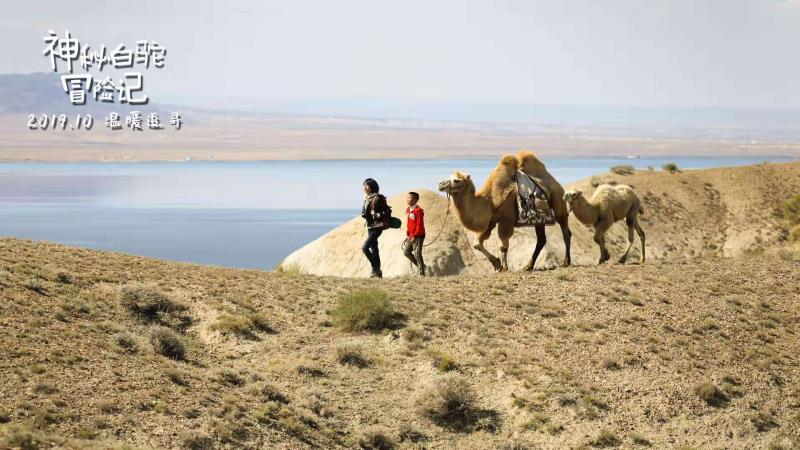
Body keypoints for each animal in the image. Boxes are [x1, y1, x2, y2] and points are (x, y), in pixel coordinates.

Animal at [434, 151, 572, 270]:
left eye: (456, 180)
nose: (440, 184)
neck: (489, 200)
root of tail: (556, 183)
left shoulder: (507, 219)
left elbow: (503, 246)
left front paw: (504, 267)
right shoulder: (491, 220)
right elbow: (477, 243)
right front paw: (496, 264)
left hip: (558, 201)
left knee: (565, 231)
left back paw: (566, 262)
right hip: (539, 219)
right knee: (541, 239)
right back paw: (528, 266)